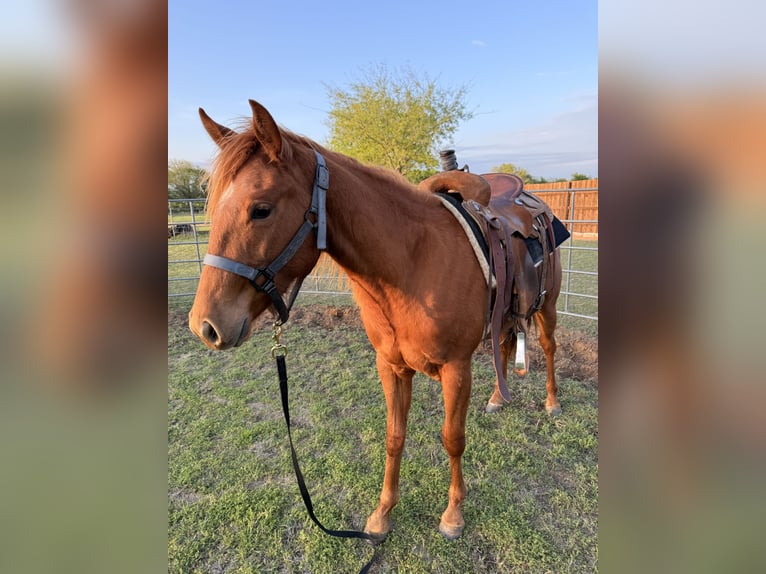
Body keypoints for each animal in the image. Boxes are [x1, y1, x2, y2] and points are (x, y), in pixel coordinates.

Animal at [188, 99, 562, 542]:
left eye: (261, 209)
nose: (205, 326)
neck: (412, 264)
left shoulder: (457, 369)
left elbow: (452, 438)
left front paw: (453, 514)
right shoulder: (391, 366)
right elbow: (394, 437)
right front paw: (383, 514)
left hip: (548, 309)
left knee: (550, 347)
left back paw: (552, 401)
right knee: (505, 344)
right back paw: (497, 399)